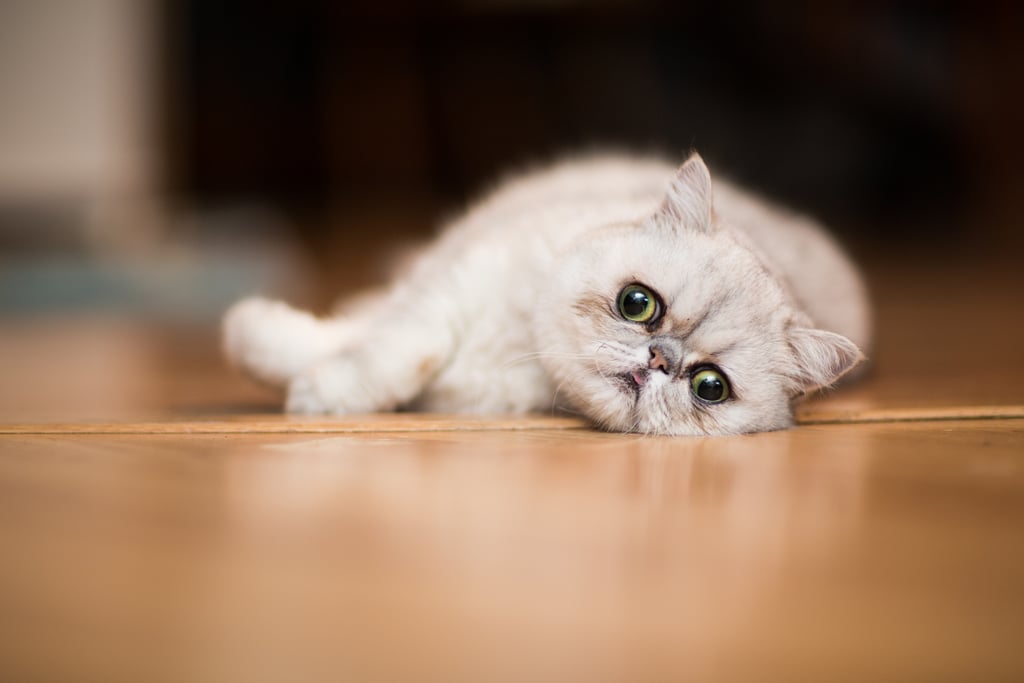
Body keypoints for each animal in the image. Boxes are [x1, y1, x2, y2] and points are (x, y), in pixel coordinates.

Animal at [224, 152, 872, 436]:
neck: (523, 348)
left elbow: (385, 355)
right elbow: (396, 351)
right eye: (638, 304)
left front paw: (315, 390)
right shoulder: (447, 290)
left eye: (709, 387)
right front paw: (258, 341)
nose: (658, 359)